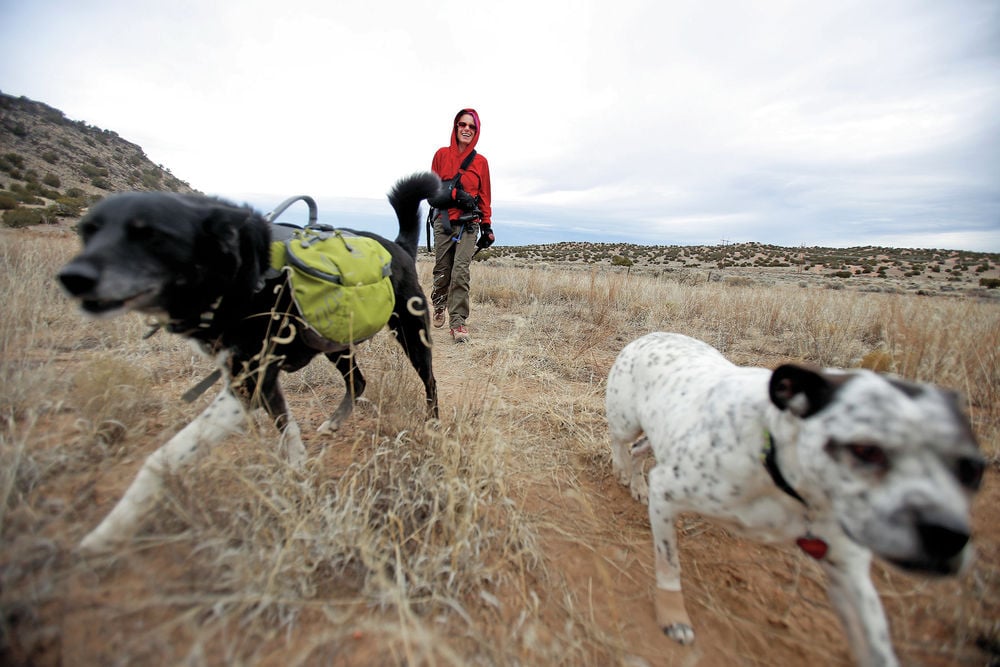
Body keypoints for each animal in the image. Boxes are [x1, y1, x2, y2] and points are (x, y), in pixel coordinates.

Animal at [58, 172, 442, 552]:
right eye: (88, 231)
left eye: (151, 235)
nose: (72, 277)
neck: (243, 273)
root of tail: (398, 245)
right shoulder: (261, 381)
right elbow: (288, 430)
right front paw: (299, 470)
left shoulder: (247, 384)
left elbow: (161, 458)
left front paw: (110, 529)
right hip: (334, 341)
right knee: (358, 381)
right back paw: (334, 423)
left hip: (411, 334)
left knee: (429, 383)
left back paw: (433, 425)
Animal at [604, 332, 980, 667]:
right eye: (865, 450)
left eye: (972, 469)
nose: (948, 537)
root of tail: (649, 335)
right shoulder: (667, 492)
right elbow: (669, 566)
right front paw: (674, 616)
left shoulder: (848, 569)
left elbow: (876, 642)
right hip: (627, 421)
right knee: (621, 443)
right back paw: (622, 468)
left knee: (639, 451)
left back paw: (636, 483)